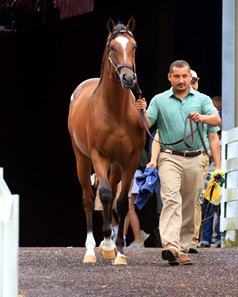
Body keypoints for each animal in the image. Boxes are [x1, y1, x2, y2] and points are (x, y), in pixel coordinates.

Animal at [67, 16, 145, 264]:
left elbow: (120, 202)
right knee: (89, 198)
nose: (128, 78)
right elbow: (104, 194)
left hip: (116, 165)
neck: (116, 112)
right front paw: (108, 246)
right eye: (112, 47)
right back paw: (92, 248)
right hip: (82, 159)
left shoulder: (130, 159)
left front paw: (118, 251)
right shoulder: (97, 155)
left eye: (134, 46)